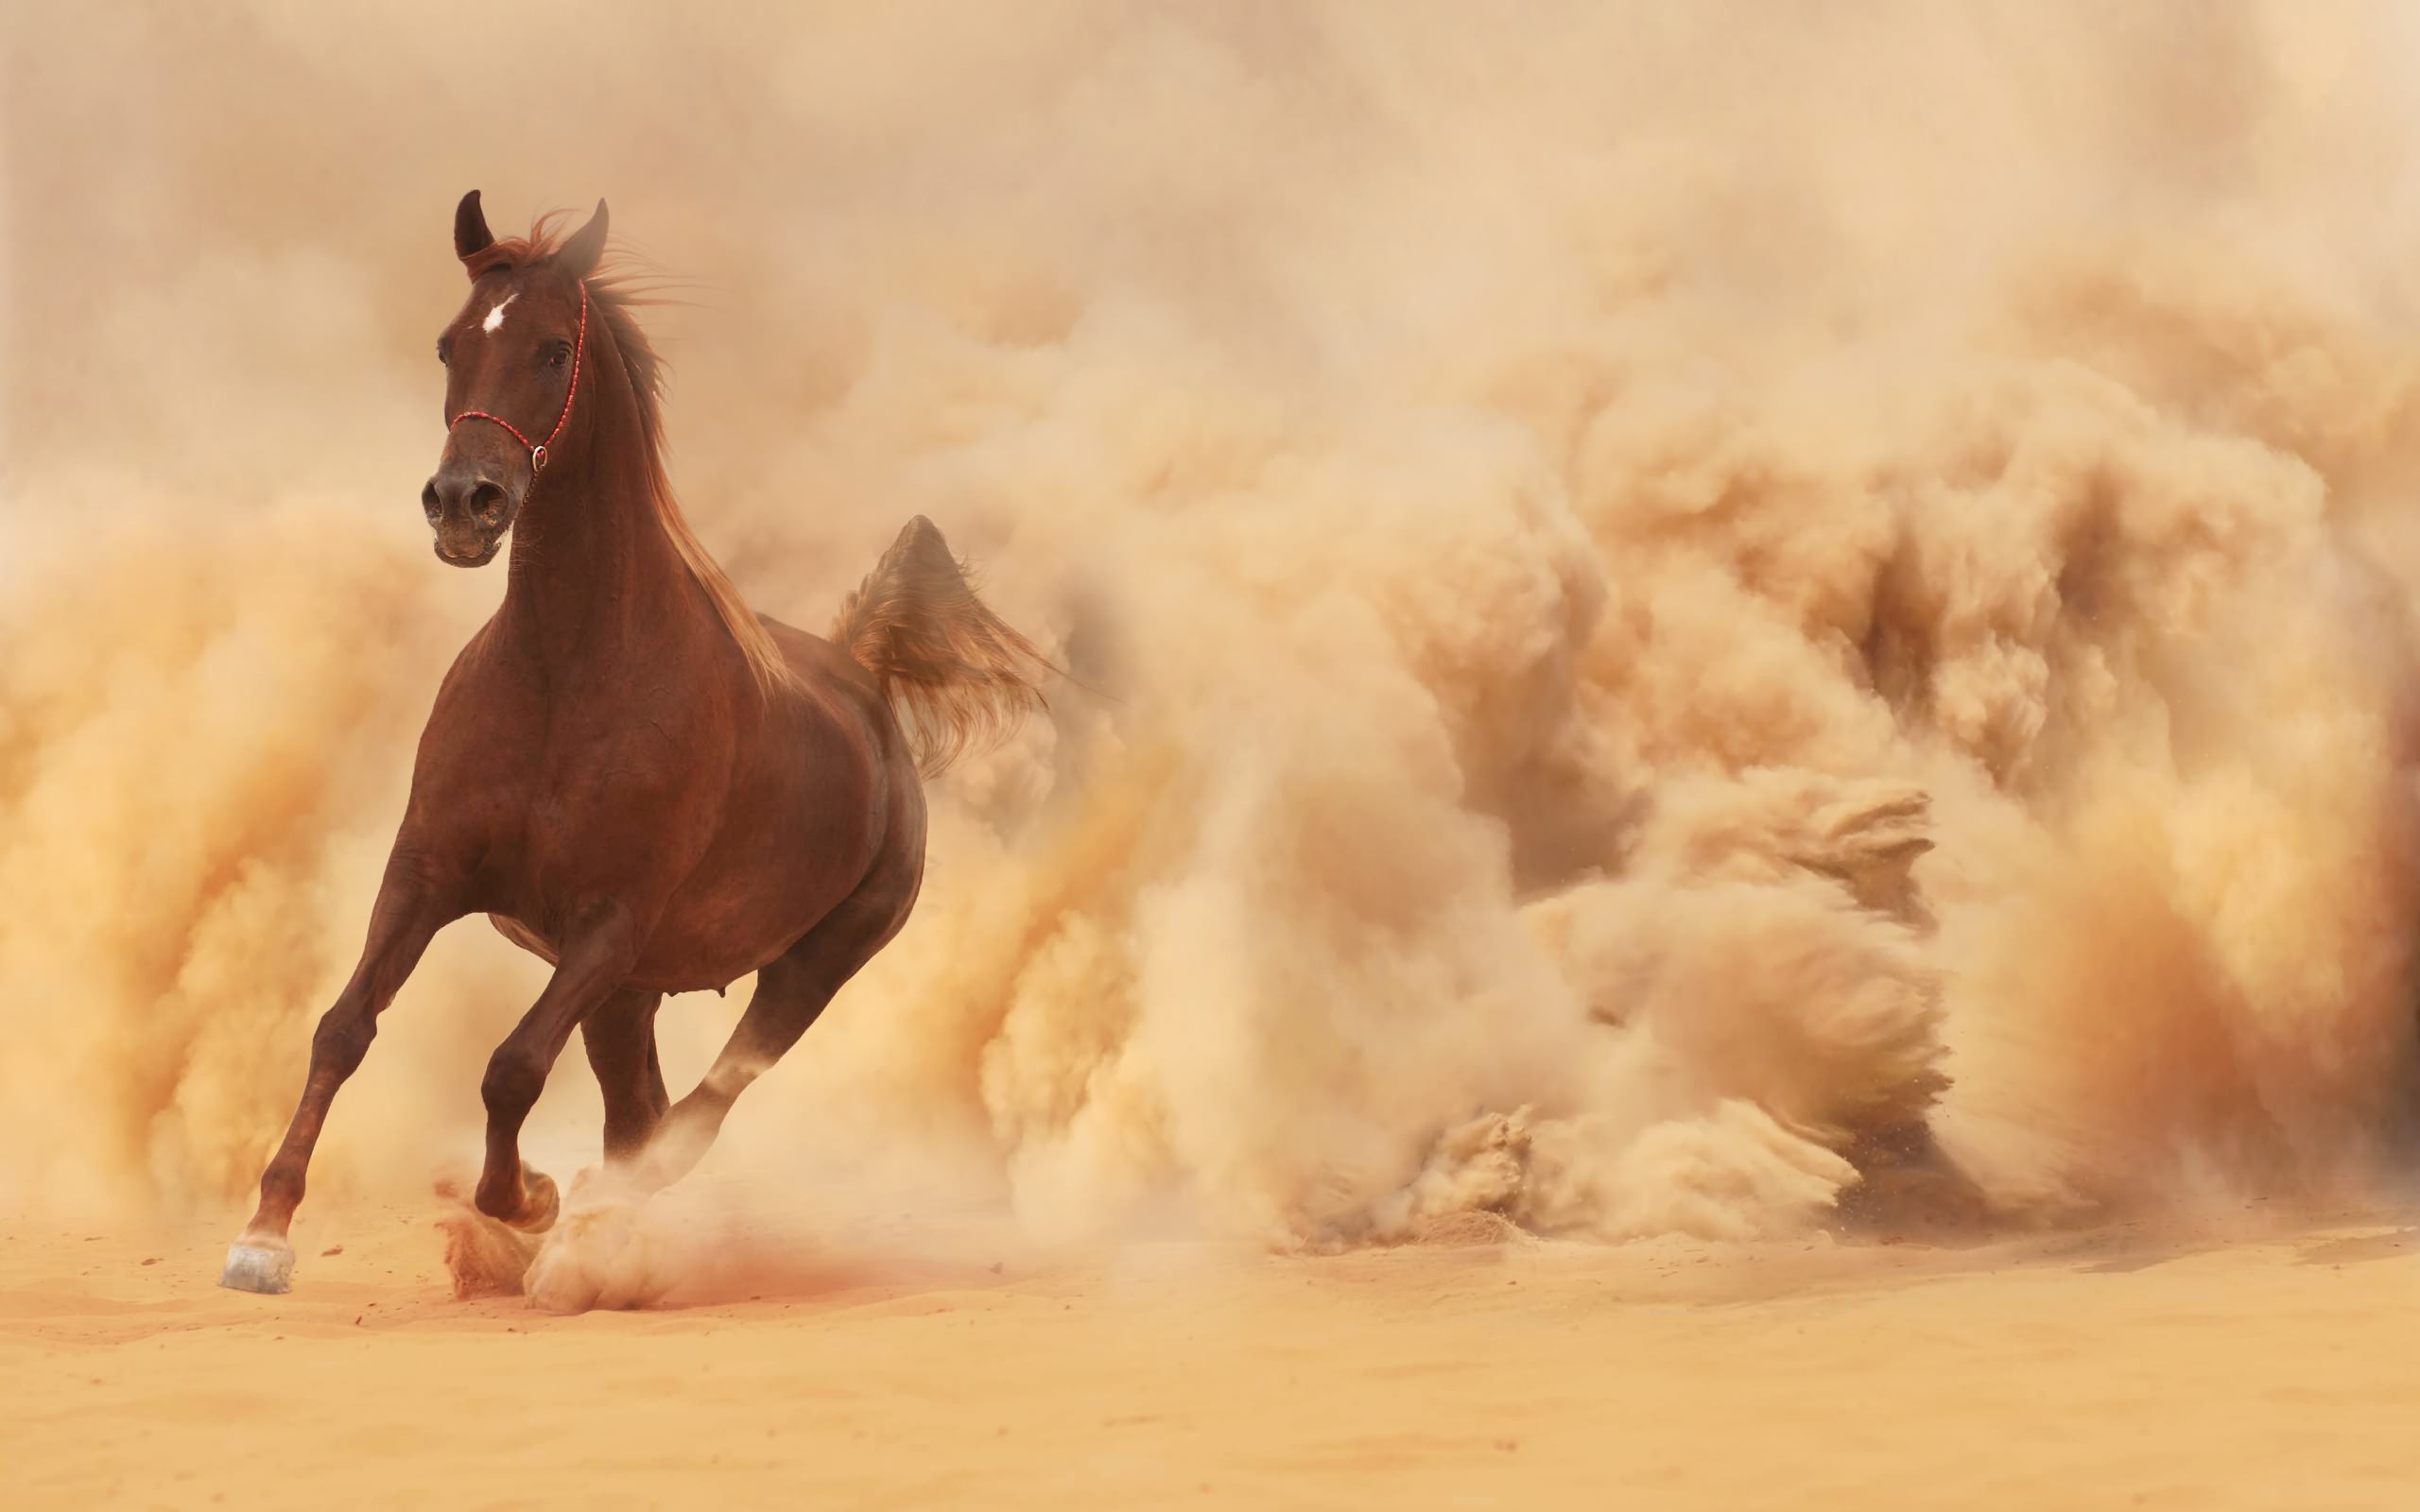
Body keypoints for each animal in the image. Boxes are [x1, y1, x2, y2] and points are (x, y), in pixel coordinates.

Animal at [227, 188, 1050, 1286]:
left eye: (550, 350)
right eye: (450, 345)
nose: (463, 504)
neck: (565, 676)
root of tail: (863, 682)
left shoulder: (607, 923)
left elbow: (511, 1067)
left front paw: (528, 1200)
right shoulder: (427, 873)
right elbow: (343, 1028)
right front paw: (263, 1234)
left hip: (809, 966)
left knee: (691, 1119)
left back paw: (592, 1232)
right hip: (633, 996)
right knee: (641, 1111)